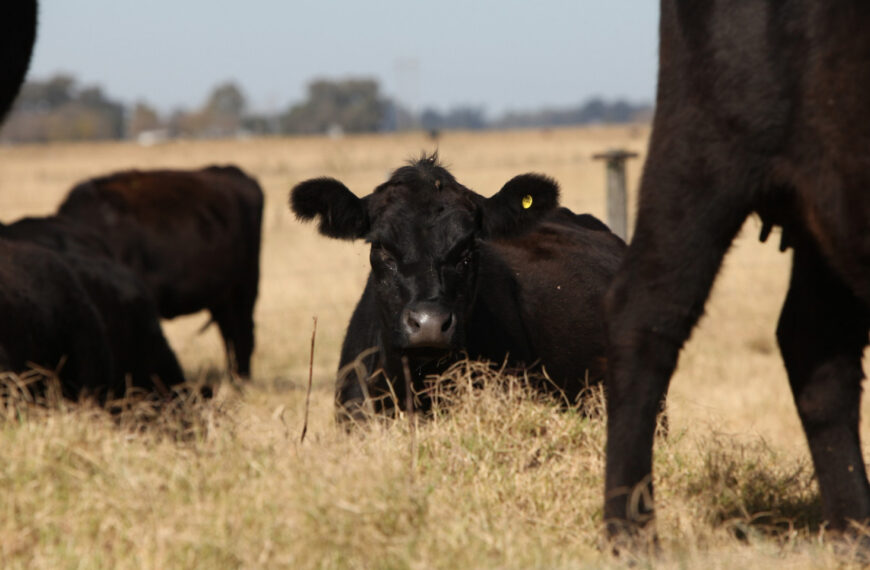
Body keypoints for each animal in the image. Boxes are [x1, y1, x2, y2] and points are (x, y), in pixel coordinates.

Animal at [608, 0, 870, 540]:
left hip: (824, 212)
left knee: (816, 346)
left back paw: (855, 534)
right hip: (702, 156)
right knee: (645, 313)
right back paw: (632, 536)